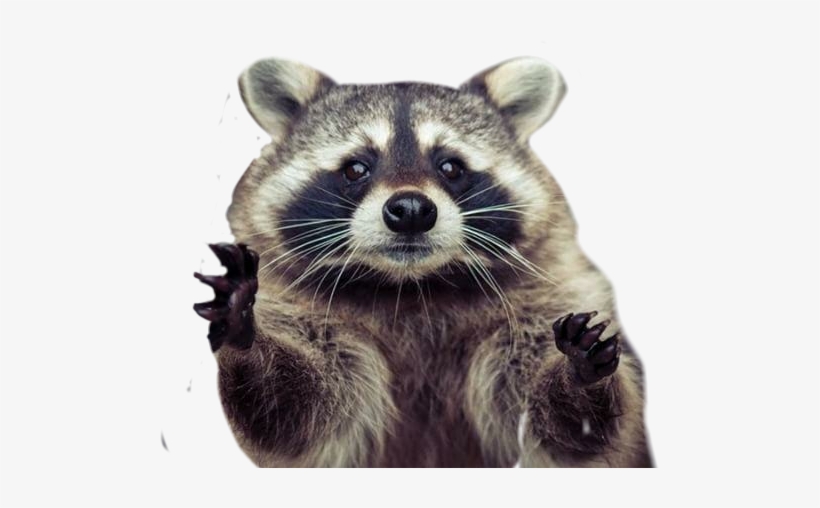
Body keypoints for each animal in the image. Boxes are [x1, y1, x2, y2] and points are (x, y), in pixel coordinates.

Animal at [193, 57, 653, 467]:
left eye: (450, 165)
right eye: (356, 167)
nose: (411, 210)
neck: (411, 287)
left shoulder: (548, 293)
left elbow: (569, 435)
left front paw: (574, 373)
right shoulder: (293, 302)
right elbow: (292, 413)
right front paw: (245, 331)